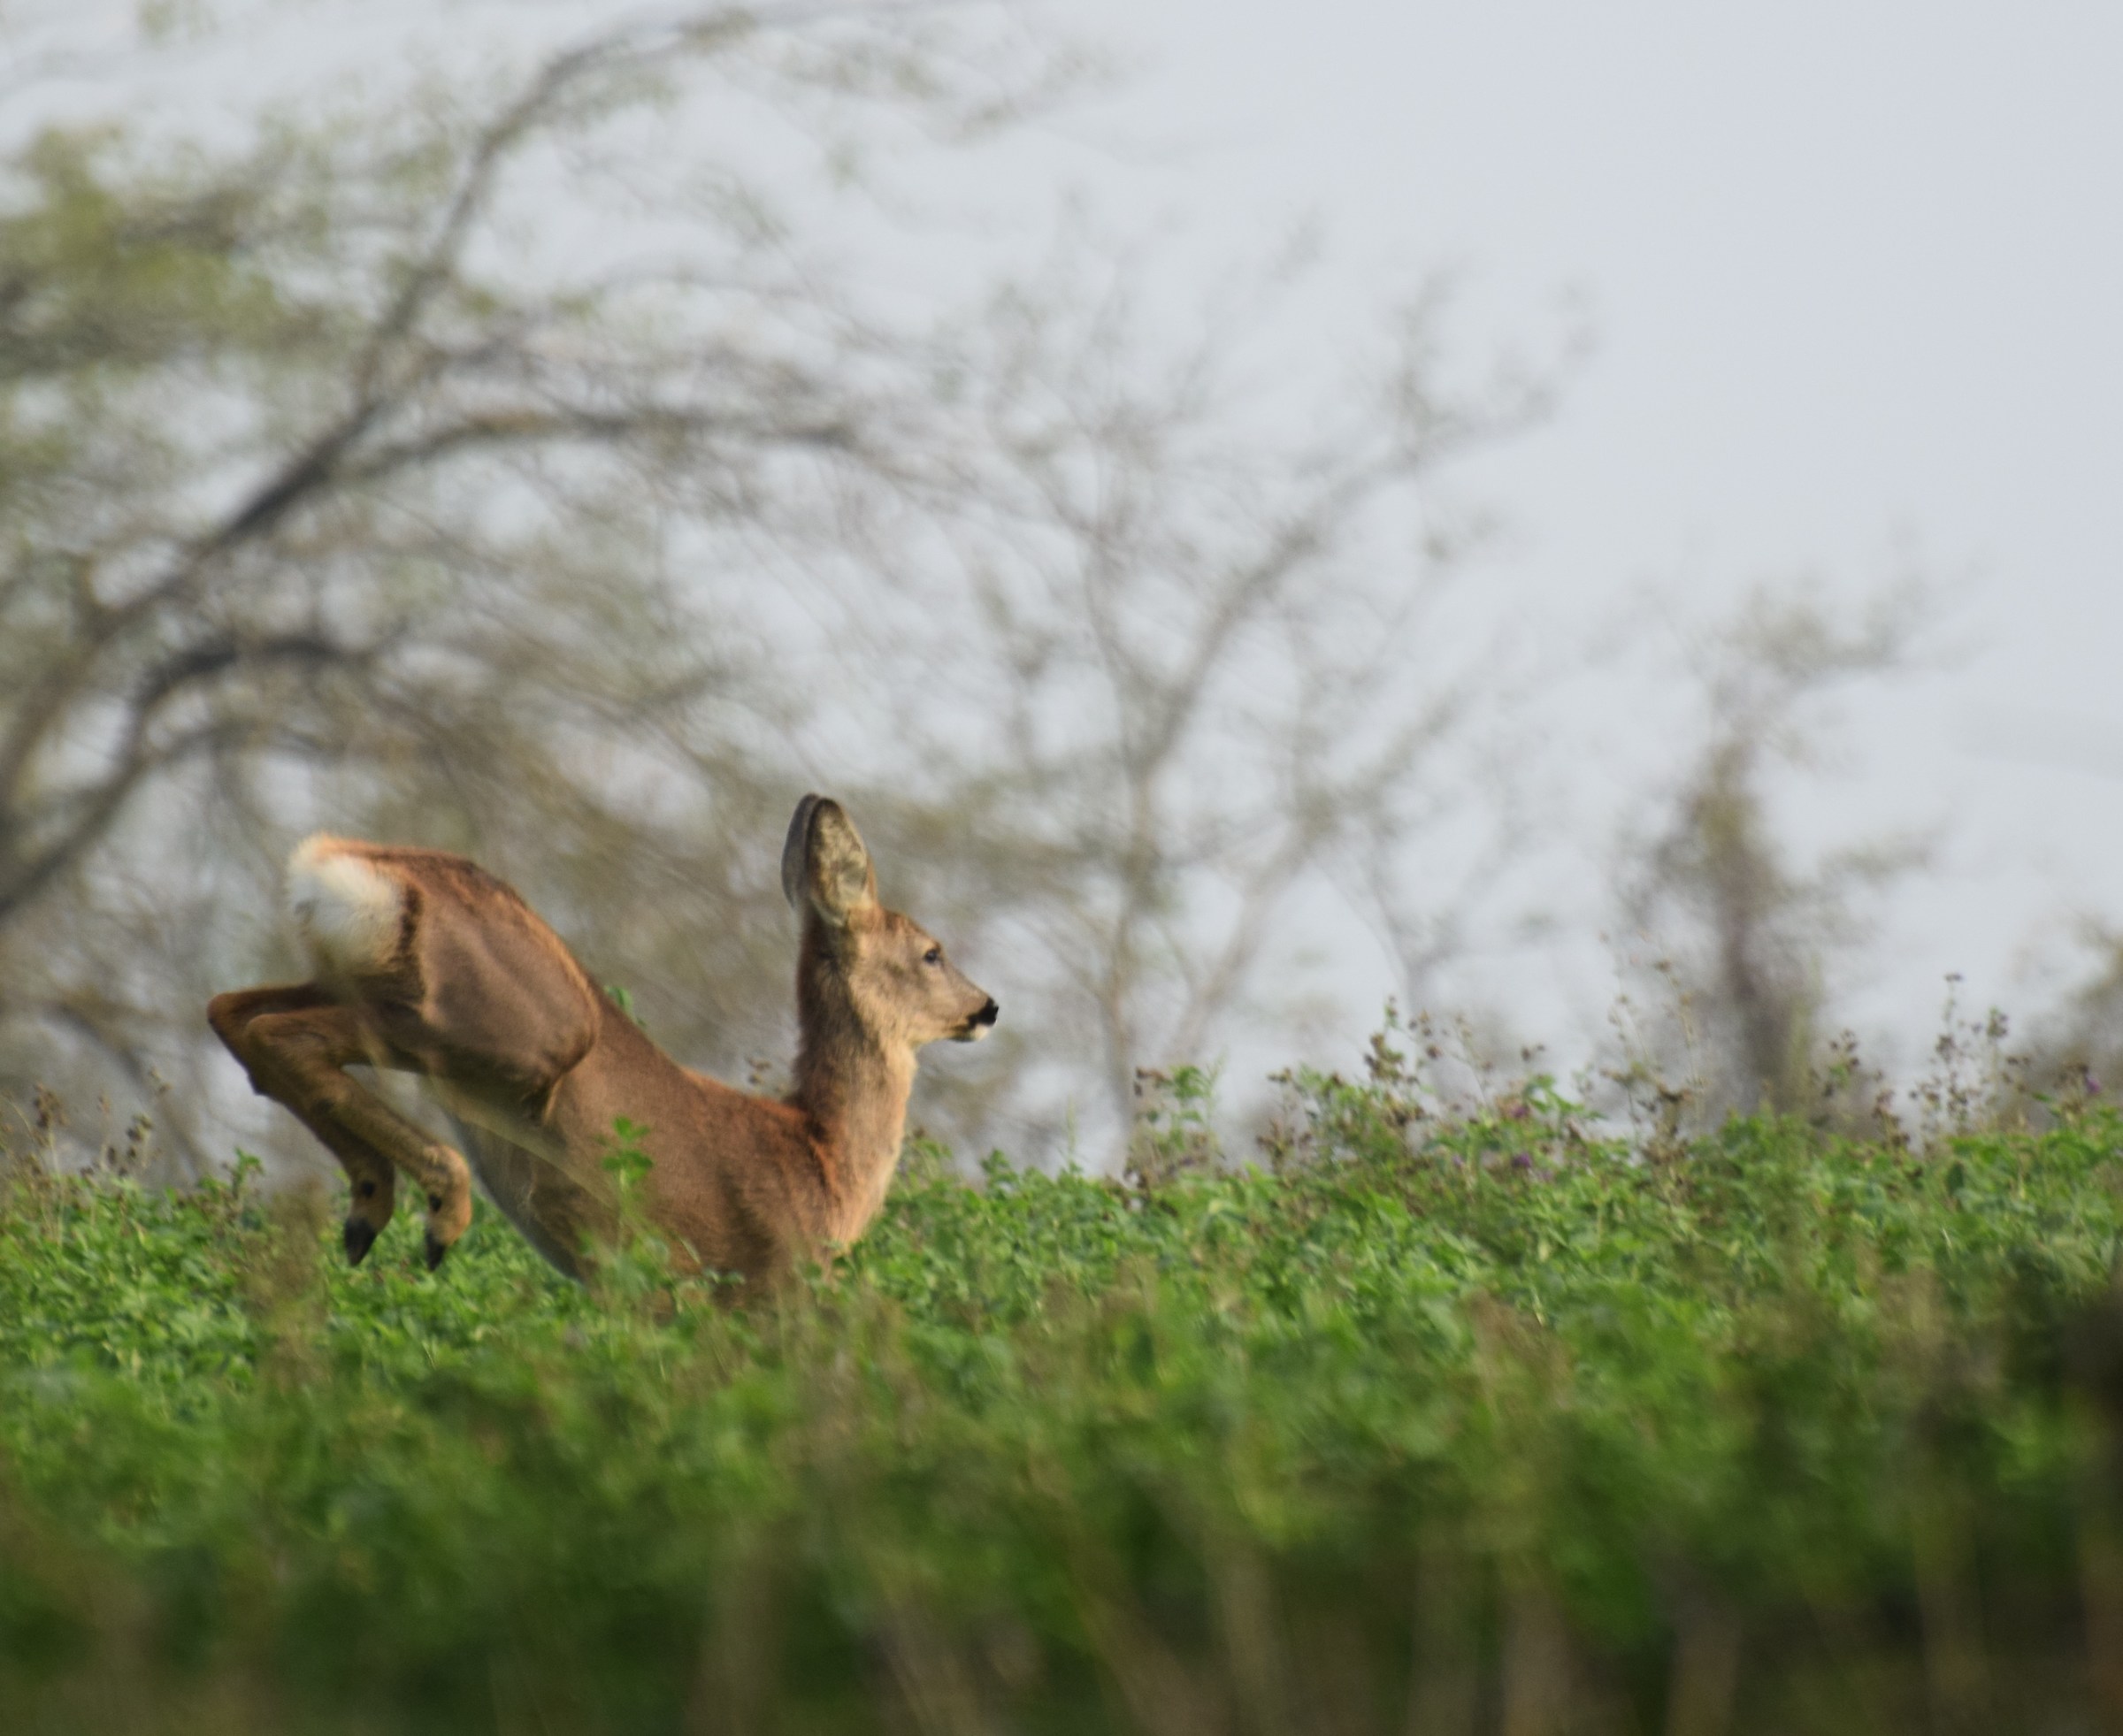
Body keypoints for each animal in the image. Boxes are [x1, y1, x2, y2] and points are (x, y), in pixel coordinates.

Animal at [206, 796, 998, 1293]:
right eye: (932, 952)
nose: (986, 1006)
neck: (821, 1162)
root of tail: (350, 871)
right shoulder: (737, 1283)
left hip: (355, 983)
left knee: (230, 1010)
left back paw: (371, 1210)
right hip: (511, 1028)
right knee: (282, 1031)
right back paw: (438, 1208)